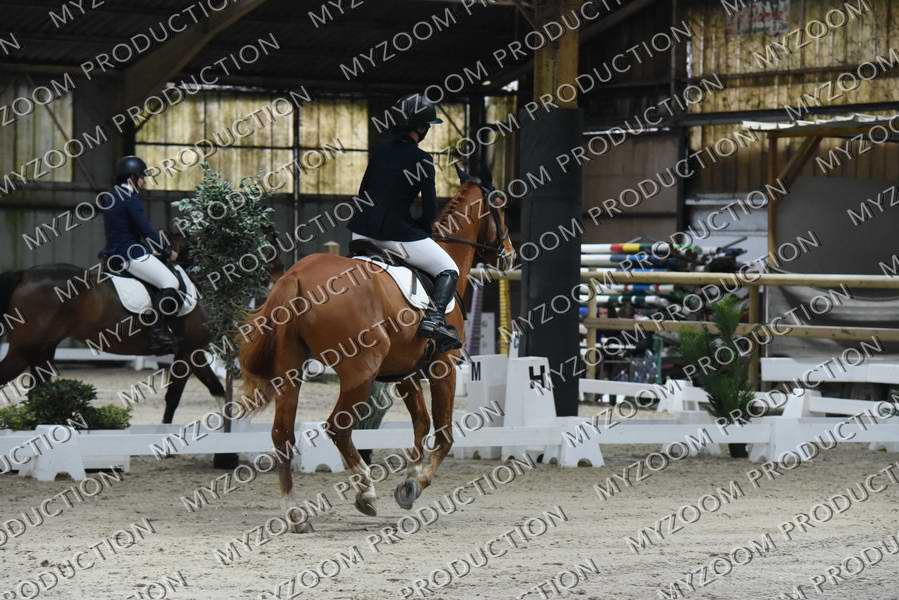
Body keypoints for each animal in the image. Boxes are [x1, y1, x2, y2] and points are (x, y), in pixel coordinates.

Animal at [0, 229, 282, 424]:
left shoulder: (193, 352)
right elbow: (175, 397)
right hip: (24, 349)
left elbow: (215, 390)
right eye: (272, 249)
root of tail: (25, 274)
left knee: (40, 393)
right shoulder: (190, 352)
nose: (278, 281)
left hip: (43, 351)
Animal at [238, 166, 514, 531]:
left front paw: (408, 478)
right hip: (360, 371)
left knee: (282, 433)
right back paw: (365, 494)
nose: (509, 254)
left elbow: (421, 422)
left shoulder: (405, 372)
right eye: (501, 206)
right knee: (338, 427)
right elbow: (444, 434)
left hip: (291, 371)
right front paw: (415, 485)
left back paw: (295, 513)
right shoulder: (443, 365)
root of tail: (296, 275)